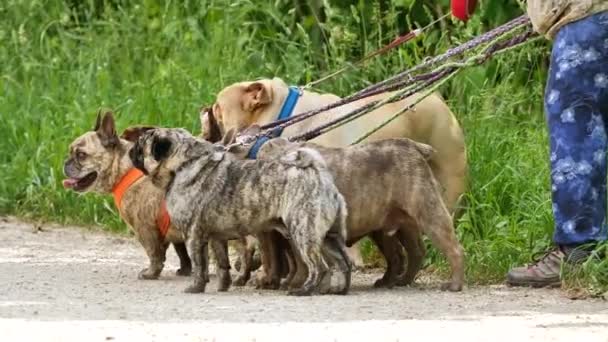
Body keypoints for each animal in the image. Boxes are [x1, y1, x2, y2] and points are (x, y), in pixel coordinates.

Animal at [131, 127, 354, 296]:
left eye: (141, 145)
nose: (132, 149)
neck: (184, 164)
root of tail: (318, 173)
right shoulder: (216, 237)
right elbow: (222, 265)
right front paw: (223, 286)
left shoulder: (193, 236)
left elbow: (199, 266)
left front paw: (195, 287)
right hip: (328, 237)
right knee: (344, 263)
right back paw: (340, 290)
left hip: (304, 233)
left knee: (319, 267)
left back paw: (304, 290)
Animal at [223, 125, 466, 292]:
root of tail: (415, 147)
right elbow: (292, 258)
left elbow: (290, 258)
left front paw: (291, 282)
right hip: (402, 222)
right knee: (414, 251)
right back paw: (399, 281)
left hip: (428, 210)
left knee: (451, 245)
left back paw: (454, 283)